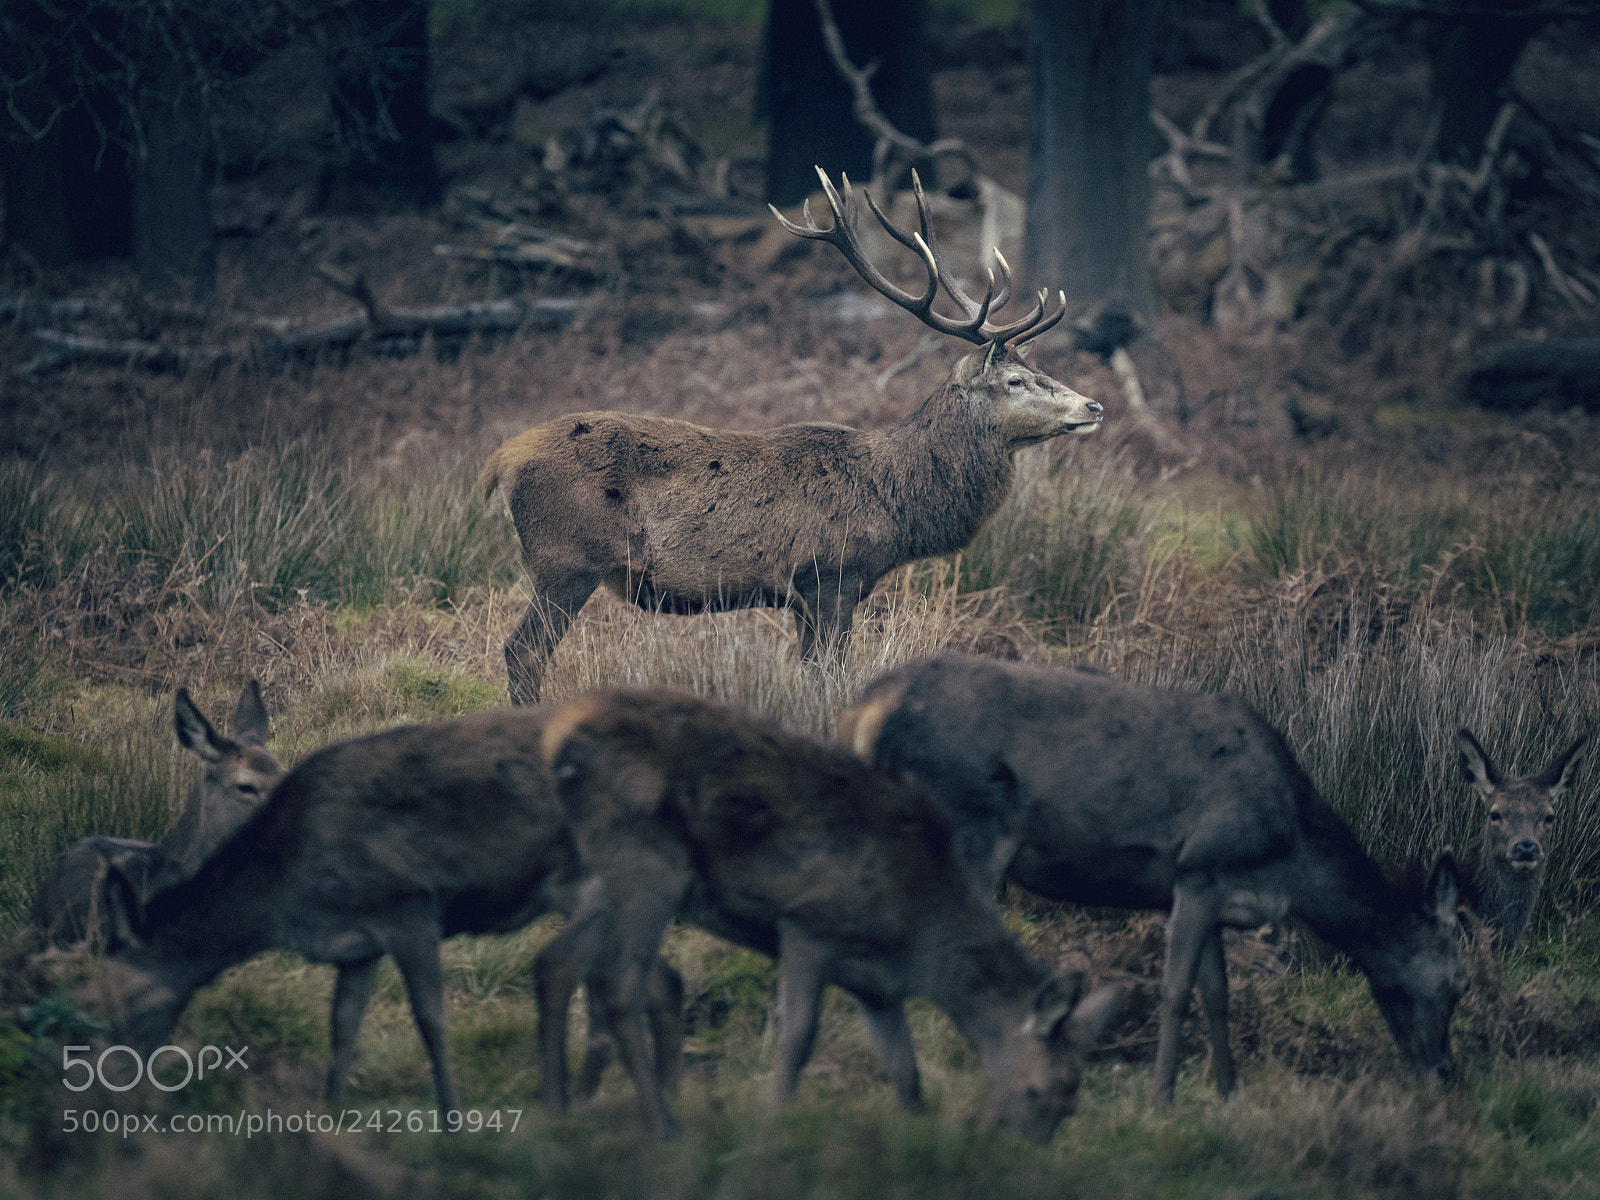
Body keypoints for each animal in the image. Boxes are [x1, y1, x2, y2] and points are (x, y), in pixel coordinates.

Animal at [92, 705, 683, 1116]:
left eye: (125, 1000)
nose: (116, 1081)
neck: (284, 900)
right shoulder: (356, 945)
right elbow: (343, 1024)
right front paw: (331, 1109)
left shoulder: (408, 905)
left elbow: (431, 1018)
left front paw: (452, 1118)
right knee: (658, 979)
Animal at [480, 168, 1104, 703]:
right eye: (1015, 380)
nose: (1094, 405)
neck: (898, 504)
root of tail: (502, 459)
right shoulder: (830, 576)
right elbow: (829, 676)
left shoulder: (806, 597)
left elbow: (810, 674)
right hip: (567, 558)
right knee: (522, 651)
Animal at [534, 688, 1128, 1142]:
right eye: (1042, 1089)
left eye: (1072, 1101)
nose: (1030, 1144)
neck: (922, 939)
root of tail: (560, 741)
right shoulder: (808, 924)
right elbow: (798, 1038)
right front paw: (769, 1124)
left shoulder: (878, 987)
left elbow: (905, 1073)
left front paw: (916, 1142)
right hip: (647, 867)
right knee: (618, 985)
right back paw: (661, 1126)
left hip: (605, 875)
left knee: (557, 961)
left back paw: (560, 1110)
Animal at [842, 653, 1468, 1103]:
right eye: (1458, 983)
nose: (1444, 1070)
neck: (1290, 862)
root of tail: (863, 712)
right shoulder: (1197, 869)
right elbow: (1176, 989)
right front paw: (1162, 1097)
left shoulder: (1214, 891)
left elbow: (1218, 995)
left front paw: (1227, 1093)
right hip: (966, 825)